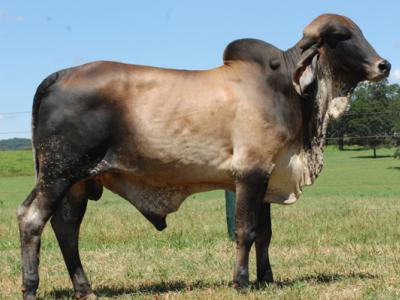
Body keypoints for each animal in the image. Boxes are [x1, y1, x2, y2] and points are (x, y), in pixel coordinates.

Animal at [17, 13, 390, 298]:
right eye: (341, 36)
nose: (383, 65)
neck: (290, 89)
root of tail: (60, 75)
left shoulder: (268, 174)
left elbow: (265, 233)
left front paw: (267, 279)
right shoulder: (251, 173)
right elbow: (246, 230)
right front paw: (241, 282)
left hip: (78, 182)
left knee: (67, 229)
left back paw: (85, 288)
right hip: (59, 174)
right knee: (32, 218)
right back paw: (31, 287)